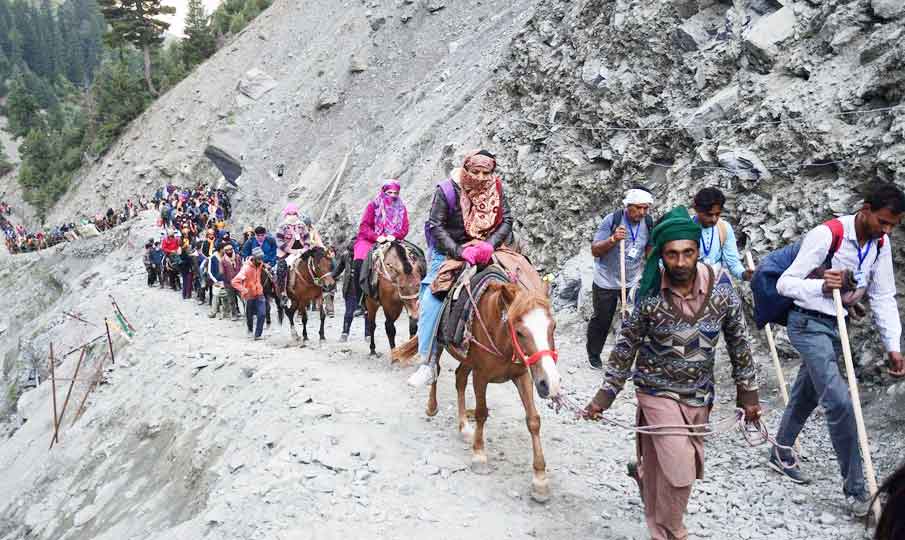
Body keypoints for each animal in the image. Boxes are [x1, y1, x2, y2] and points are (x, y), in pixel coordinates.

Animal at [392, 266, 561, 503]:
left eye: (552, 327)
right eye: (519, 331)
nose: (550, 383)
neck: (501, 337)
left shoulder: (522, 376)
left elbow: (533, 420)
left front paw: (540, 481)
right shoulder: (481, 376)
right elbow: (481, 413)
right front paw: (479, 456)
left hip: (467, 361)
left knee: (459, 379)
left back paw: (464, 428)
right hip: (441, 346)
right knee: (435, 369)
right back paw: (432, 406)